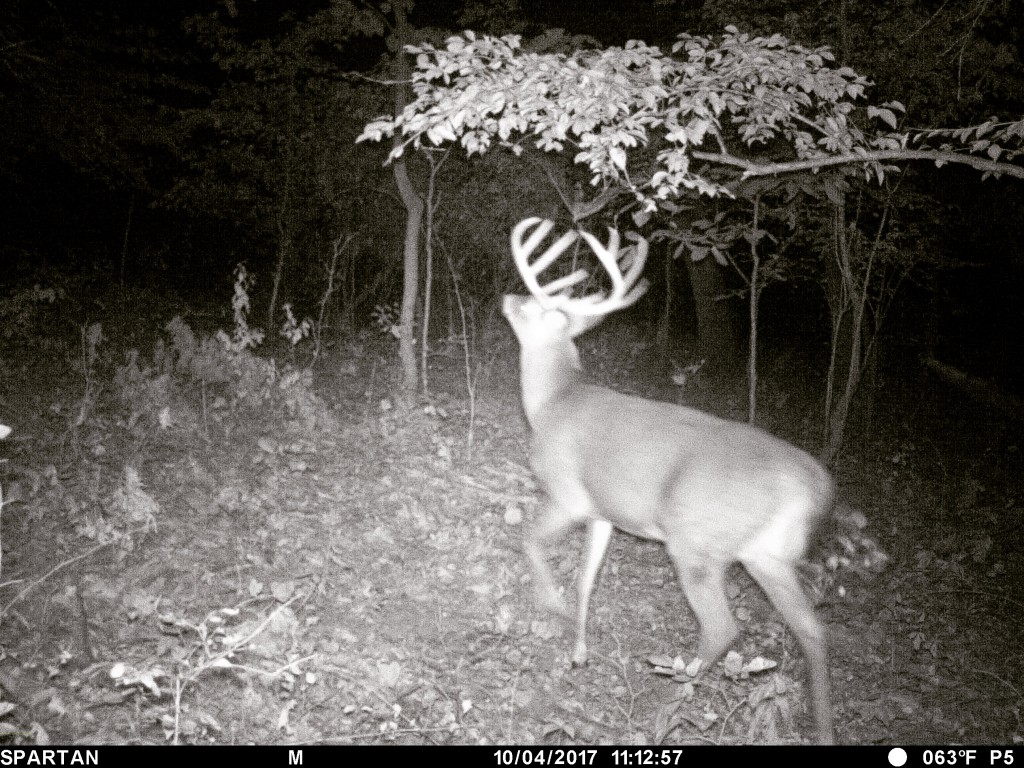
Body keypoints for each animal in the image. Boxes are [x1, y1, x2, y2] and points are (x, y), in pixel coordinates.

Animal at [502, 217, 835, 745]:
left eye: (536, 307)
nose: (507, 298)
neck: (552, 401)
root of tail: (813, 485)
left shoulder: (568, 494)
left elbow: (530, 543)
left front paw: (550, 607)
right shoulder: (604, 513)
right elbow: (587, 580)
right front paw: (578, 651)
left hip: (696, 543)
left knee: (723, 627)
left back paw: (669, 704)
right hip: (767, 553)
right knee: (813, 631)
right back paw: (823, 729)